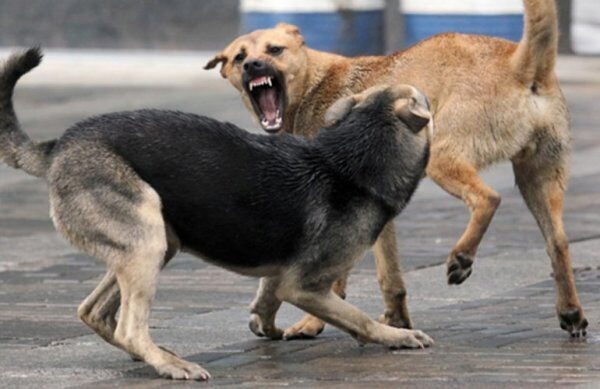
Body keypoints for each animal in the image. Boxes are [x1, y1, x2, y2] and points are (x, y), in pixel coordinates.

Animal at [205, 0, 584, 340]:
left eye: (275, 49)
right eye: (238, 57)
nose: (253, 65)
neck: (314, 84)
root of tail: (520, 64)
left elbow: (334, 279)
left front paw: (312, 324)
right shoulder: (378, 213)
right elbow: (390, 276)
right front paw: (397, 322)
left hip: (443, 157)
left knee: (488, 198)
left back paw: (462, 257)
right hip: (540, 178)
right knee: (558, 242)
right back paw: (570, 312)